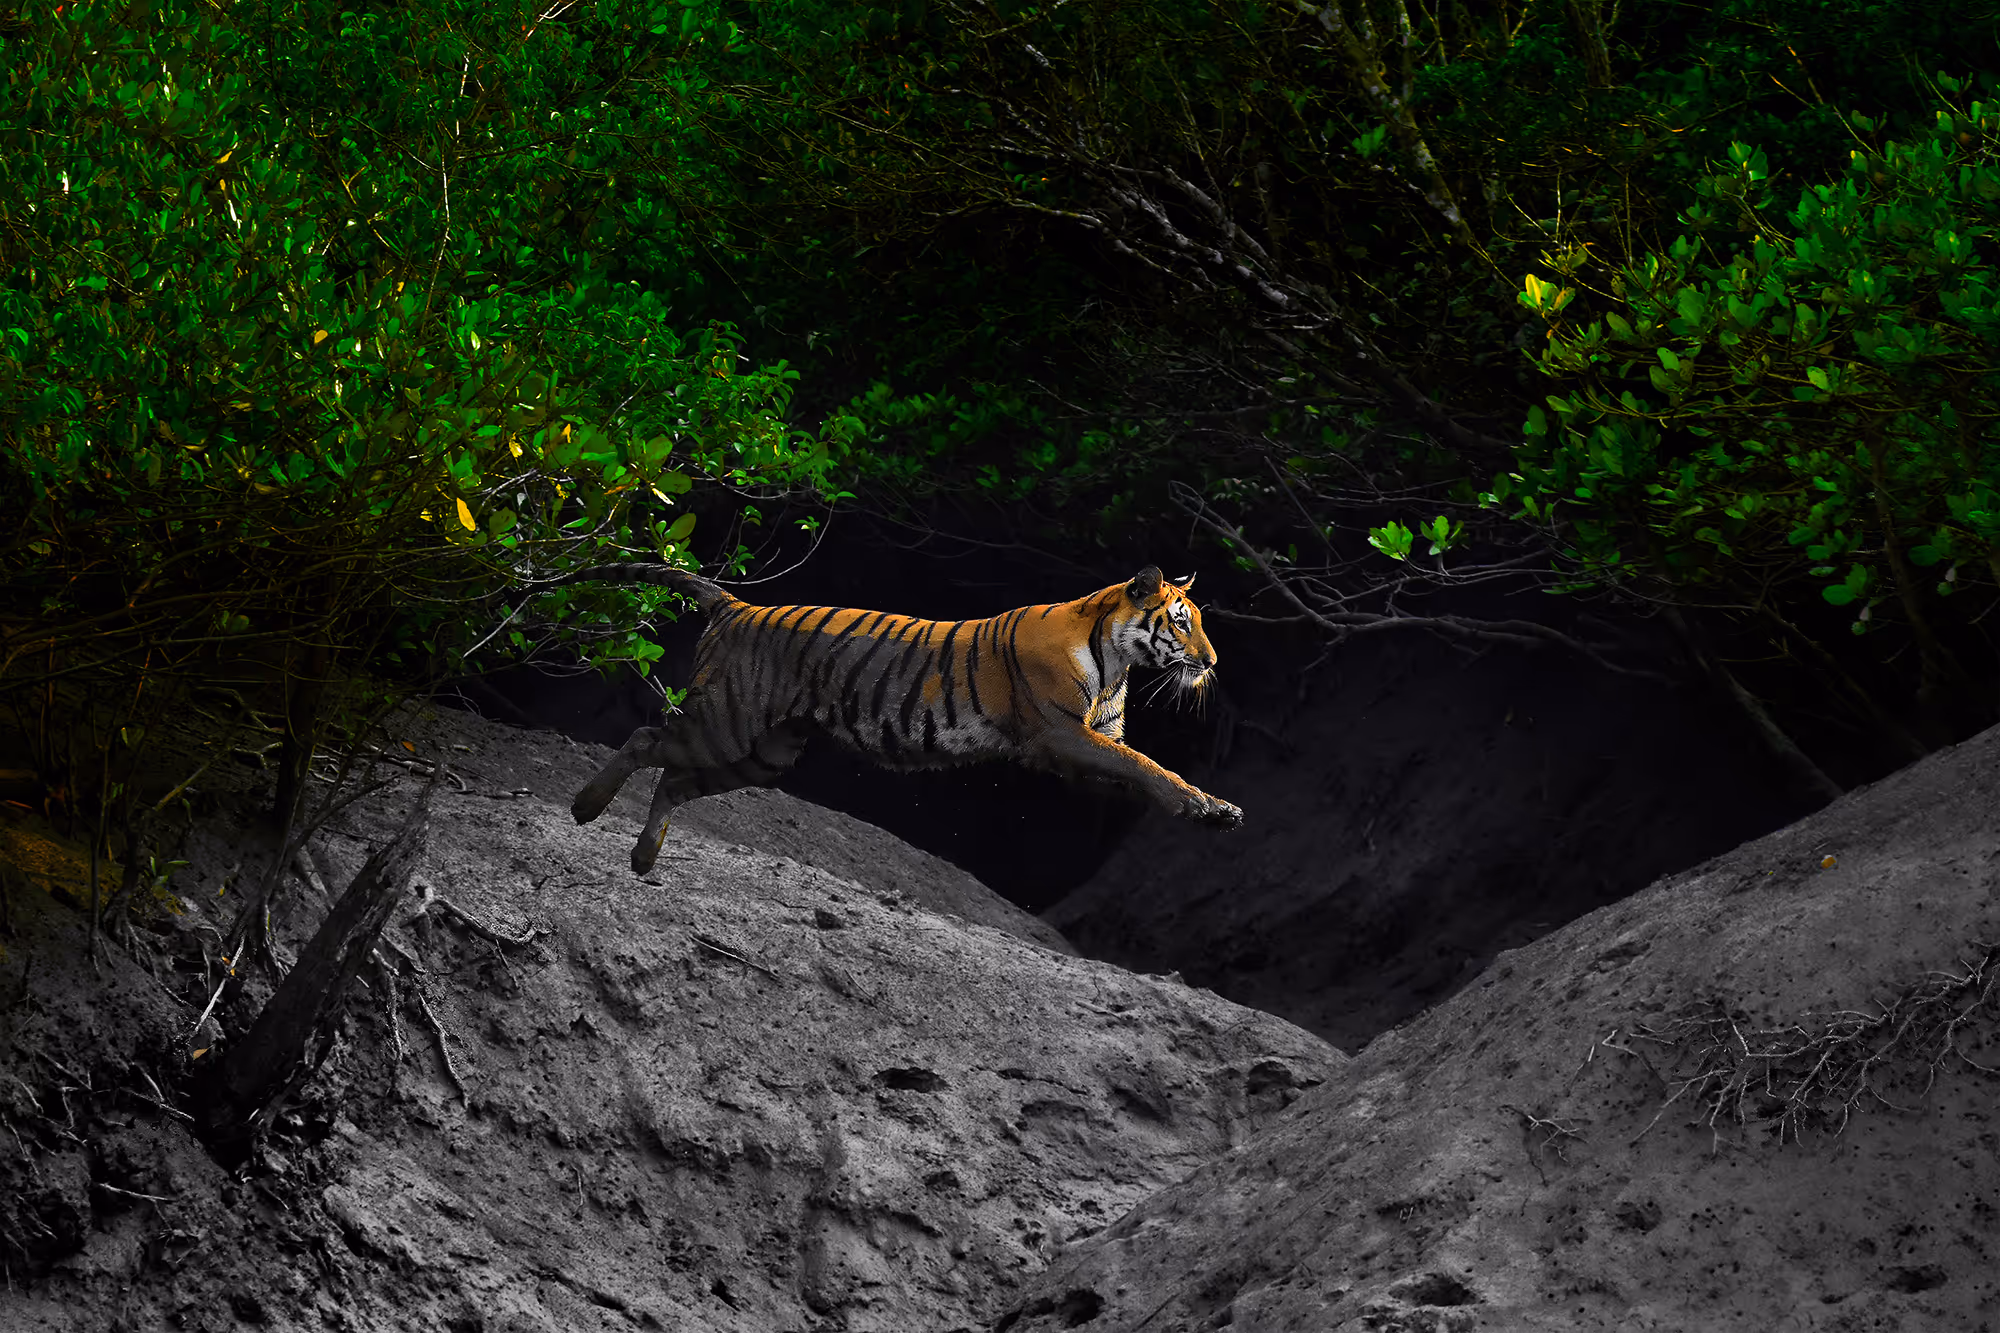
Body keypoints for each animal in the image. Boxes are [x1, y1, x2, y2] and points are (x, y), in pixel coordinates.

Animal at [563, 564, 1244, 873]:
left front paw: (1206, 810)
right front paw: (1211, 807)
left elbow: (1134, 768)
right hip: (727, 722)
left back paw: (643, 858)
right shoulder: (1057, 733)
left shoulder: (1087, 743)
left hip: (763, 753)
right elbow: (1147, 764)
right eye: (1182, 621)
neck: (1117, 660)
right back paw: (586, 807)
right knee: (646, 738)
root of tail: (737, 605)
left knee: (675, 779)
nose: (1214, 662)